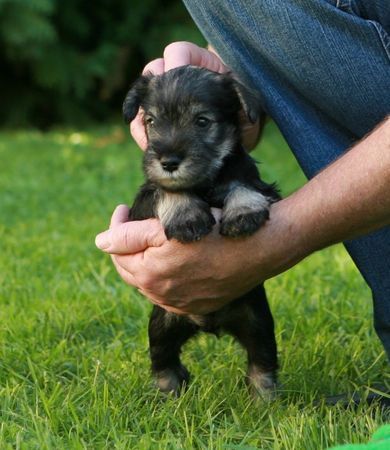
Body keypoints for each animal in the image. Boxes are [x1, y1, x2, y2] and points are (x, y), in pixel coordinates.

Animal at [123, 67, 278, 398]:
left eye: (202, 121)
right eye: (151, 121)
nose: (168, 162)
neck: (206, 181)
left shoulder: (260, 185)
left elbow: (240, 184)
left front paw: (243, 213)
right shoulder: (141, 206)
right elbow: (166, 191)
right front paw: (186, 217)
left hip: (258, 323)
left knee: (261, 363)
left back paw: (265, 399)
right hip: (162, 325)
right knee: (163, 360)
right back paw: (168, 392)